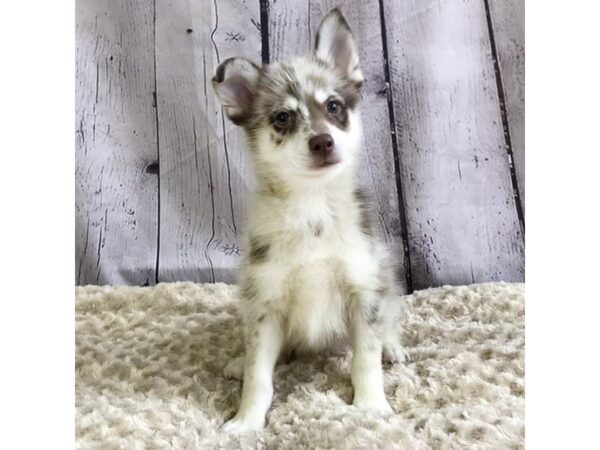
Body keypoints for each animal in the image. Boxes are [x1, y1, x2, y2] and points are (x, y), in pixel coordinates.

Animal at [211, 8, 408, 434]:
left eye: (333, 106)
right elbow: (259, 376)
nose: (322, 142)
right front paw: (246, 421)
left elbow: (365, 360)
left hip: (384, 278)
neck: (312, 206)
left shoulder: (363, 292)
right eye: (283, 117)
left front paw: (371, 406)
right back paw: (239, 361)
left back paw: (392, 347)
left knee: (388, 323)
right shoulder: (265, 304)